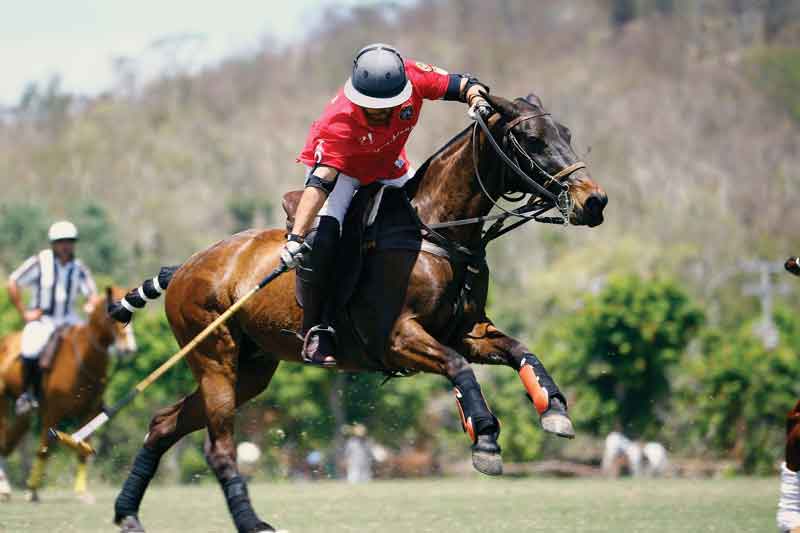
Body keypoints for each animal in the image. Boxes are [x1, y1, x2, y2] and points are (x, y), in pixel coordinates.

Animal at [0, 284, 137, 500]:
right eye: (115, 310)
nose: (129, 348)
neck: (82, 360)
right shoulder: (52, 411)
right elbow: (44, 449)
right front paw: (32, 491)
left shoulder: (90, 411)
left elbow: (82, 451)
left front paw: (82, 493)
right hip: (3, 399)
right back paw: (5, 487)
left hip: (24, 414)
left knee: (8, 442)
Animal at [108, 93, 608, 528]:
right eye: (532, 140)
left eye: (566, 132)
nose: (594, 201)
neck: (435, 230)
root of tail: (185, 267)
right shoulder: (397, 338)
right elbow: (458, 367)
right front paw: (484, 437)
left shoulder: (466, 329)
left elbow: (520, 350)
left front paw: (554, 410)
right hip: (214, 357)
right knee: (219, 449)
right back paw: (251, 522)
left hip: (250, 370)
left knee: (162, 424)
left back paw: (128, 513)